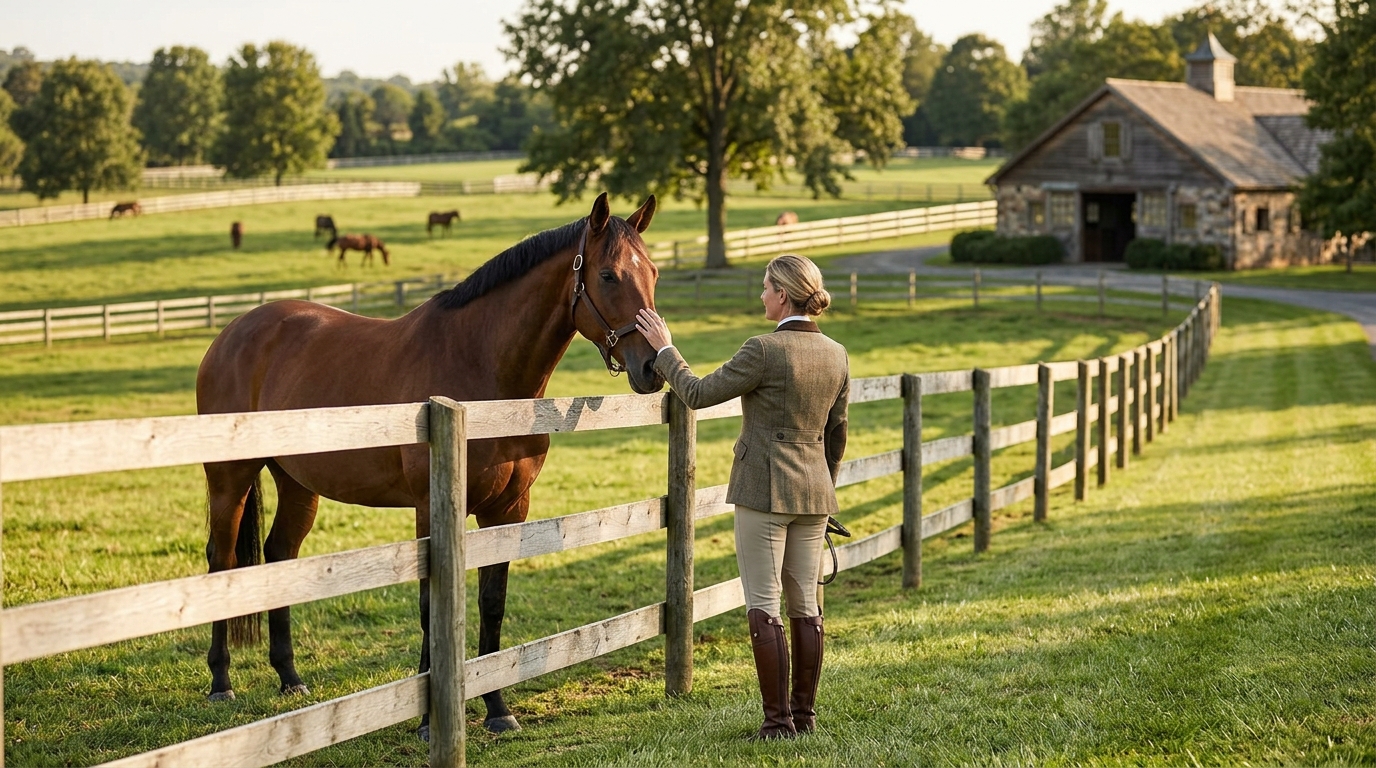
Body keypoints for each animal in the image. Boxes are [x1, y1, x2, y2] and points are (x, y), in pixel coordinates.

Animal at [195, 193, 662, 737]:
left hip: (297, 483)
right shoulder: (431, 508)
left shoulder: (508, 510)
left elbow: (492, 603)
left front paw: (498, 709)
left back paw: (290, 678)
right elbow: (429, 605)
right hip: (230, 478)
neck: (481, 370)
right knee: (222, 562)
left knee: (279, 556)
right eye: (608, 275)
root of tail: (233, 332)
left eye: (652, 272)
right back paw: (220, 683)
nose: (652, 366)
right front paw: (425, 719)